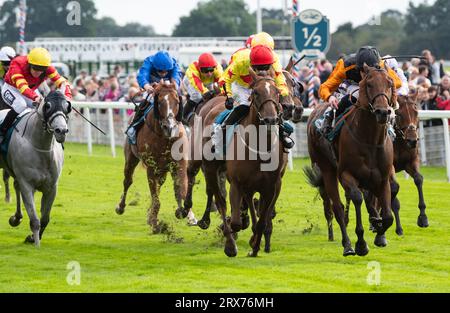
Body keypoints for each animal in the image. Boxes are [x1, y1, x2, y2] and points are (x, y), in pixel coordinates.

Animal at [0, 90, 71, 246]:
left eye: (67, 106)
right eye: (48, 106)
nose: (61, 131)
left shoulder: (51, 187)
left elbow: (45, 218)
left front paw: (32, 238)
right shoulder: (27, 184)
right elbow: (34, 220)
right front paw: (36, 243)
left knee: (16, 185)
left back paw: (16, 218)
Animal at [116, 80, 190, 232]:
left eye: (176, 102)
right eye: (160, 102)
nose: (170, 127)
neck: (165, 138)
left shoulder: (179, 164)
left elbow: (181, 190)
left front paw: (184, 213)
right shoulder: (151, 167)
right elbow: (156, 198)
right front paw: (155, 224)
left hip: (162, 170)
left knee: (159, 185)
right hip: (131, 158)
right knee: (127, 181)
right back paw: (120, 207)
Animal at [306, 64, 394, 256]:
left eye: (390, 83)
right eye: (369, 84)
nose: (383, 112)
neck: (370, 140)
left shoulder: (382, 178)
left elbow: (387, 216)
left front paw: (379, 234)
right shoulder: (346, 174)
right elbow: (357, 198)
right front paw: (361, 243)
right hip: (326, 169)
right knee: (337, 207)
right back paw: (347, 245)